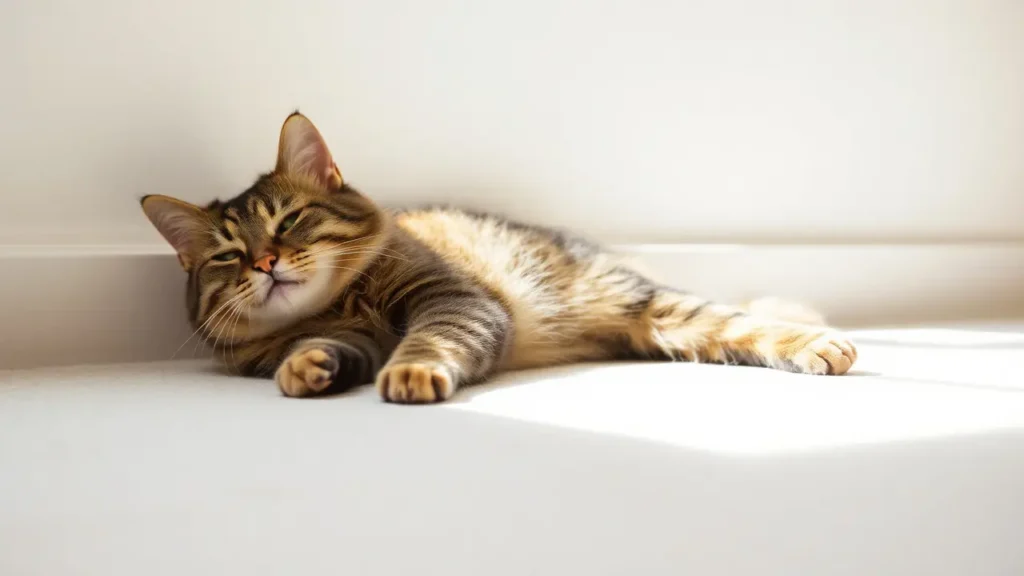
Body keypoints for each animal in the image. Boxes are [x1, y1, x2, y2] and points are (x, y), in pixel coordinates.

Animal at [138, 111, 856, 399]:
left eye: (288, 220)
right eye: (229, 255)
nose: (265, 263)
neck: (344, 304)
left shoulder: (452, 299)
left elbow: (429, 342)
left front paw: (411, 373)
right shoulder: (339, 338)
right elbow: (322, 351)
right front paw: (307, 367)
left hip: (656, 305)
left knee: (748, 321)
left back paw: (823, 342)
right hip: (662, 330)